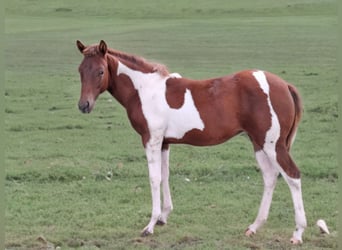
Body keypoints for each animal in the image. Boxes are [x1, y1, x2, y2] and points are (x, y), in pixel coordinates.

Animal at [75, 39, 308, 244]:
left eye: (101, 71)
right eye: (80, 70)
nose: (84, 105)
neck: (144, 90)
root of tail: (284, 85)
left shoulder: (151, 139)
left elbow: (154, 178)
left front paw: (150, 226)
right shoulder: (164, 143)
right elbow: (165, 176)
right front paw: (163, 218)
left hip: (273, 145)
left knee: (292, 176)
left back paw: (297, 233)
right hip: (259, 143)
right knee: (270, 177)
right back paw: (254, 227)